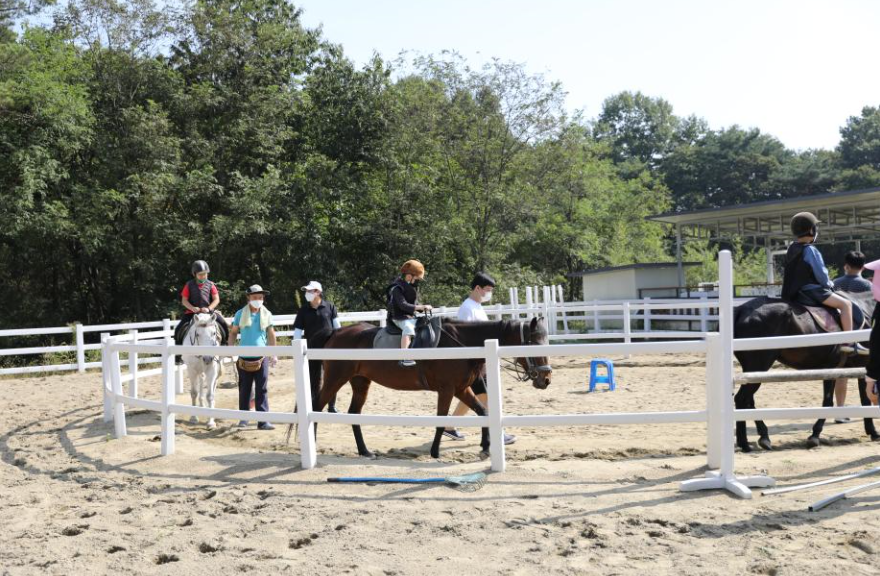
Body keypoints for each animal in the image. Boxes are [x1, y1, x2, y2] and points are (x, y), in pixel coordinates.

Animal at [314, 318, 552, 456]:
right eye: (533, 344)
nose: (546, 378)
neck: (461, 344)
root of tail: (337, 333)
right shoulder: (447, 390)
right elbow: (441, 420)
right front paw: (435, 451)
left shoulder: (462, 389)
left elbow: (482, 412)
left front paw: (486, 446)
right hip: (335, 379)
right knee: (316, 407)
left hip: (360, 382)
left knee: (354, 413)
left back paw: (364, 451)